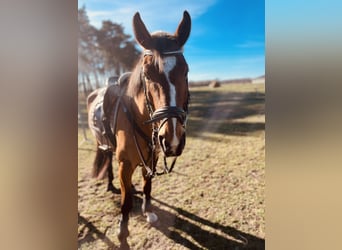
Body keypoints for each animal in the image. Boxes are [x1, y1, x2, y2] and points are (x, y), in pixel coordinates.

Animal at [91, 10, 191, 247]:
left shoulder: (152, 157)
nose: (173, 139)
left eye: (186, 71)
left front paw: (149, 211)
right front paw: (122, 236)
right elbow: (126, 203)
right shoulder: (126, 164)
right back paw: (111, 185)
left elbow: (147, 185)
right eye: (147, 74)